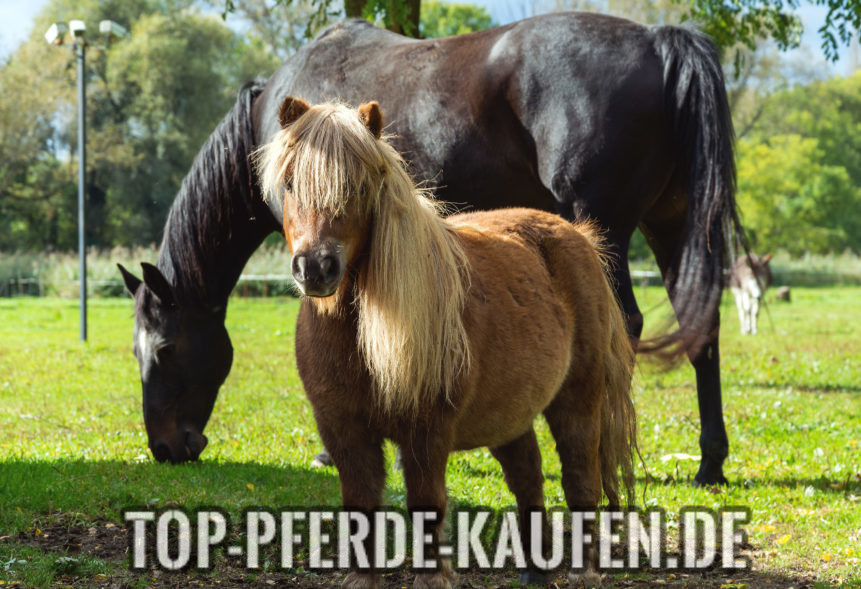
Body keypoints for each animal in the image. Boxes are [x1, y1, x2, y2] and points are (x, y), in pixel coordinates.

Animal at [119, 12, 740, 485]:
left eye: (165, 350)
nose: (165, 448)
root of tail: (660, 40)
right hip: (670, 225)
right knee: (701, 326)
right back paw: (710, 463)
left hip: (603, 227)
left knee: (625, 325)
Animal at [256, 95, 637, 588]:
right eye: (288, 183)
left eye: (359, 187)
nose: (315, 268)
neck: (360, 343)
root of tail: (580, 238)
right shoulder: (343, 431)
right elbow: (360, 504)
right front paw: (363, 578)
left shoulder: (426, 432)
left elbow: (426, 504)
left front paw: (433, 576)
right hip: (509, 414)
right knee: (528, 477)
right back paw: (535, 571)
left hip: (578, 402)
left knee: (579, 479)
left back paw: (583, 570)